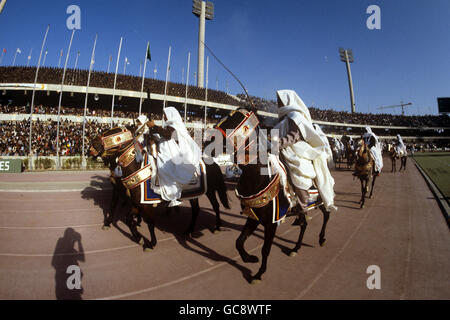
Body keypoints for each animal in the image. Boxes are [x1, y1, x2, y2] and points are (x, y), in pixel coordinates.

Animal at [216, 109, 332, 284]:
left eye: (234, 120)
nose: (208, 138)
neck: (257, 177)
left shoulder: (271, 222)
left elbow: (265, 249)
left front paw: (258, 274)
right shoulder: (254, 217)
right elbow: (239, 241)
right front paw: (249, 258)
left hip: (321, 199)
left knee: (326, 215)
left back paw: (322, 239)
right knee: (304, 224)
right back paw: (295, 248)